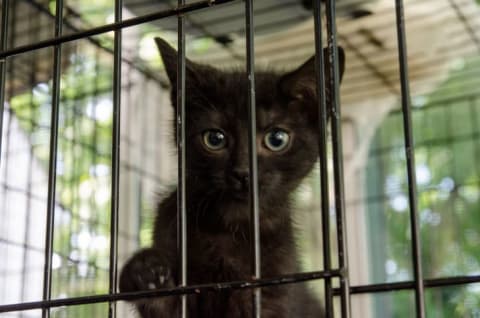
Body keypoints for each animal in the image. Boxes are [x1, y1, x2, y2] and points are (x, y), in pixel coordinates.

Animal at [120, 38, 344, 318]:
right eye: (214, 139)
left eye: (277, 139)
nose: (243, 172)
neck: (230, 225)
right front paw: (146, 272)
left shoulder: (274, 290)